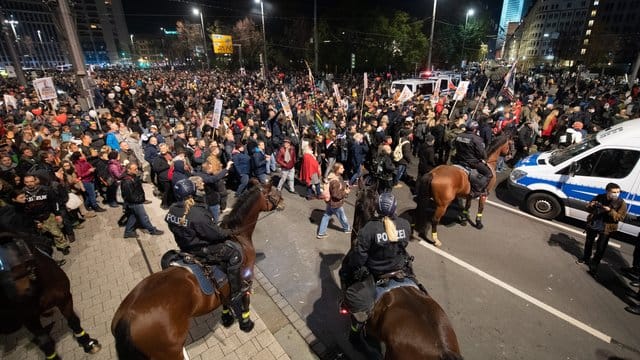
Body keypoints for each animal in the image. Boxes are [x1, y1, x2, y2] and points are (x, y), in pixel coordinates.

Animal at [111, 184, 284, 358]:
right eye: (274, 194)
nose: (283, 203)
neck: (239, 236)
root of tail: (126, 318)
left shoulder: (224, 286)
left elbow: (225, 300)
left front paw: (227, 318)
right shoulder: (247, 279)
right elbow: (245, 301)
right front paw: (246, 323)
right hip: (171, 352)